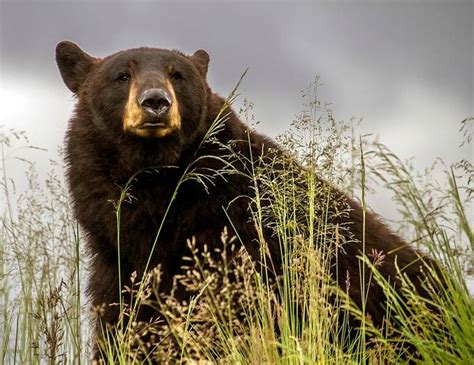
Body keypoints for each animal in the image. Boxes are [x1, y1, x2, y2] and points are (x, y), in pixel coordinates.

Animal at [55, 40, 440, 358]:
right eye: (122, 75)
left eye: (177, 75)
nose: (155, 102)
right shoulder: (114, 255)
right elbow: (121, 319)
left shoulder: (241, 240)